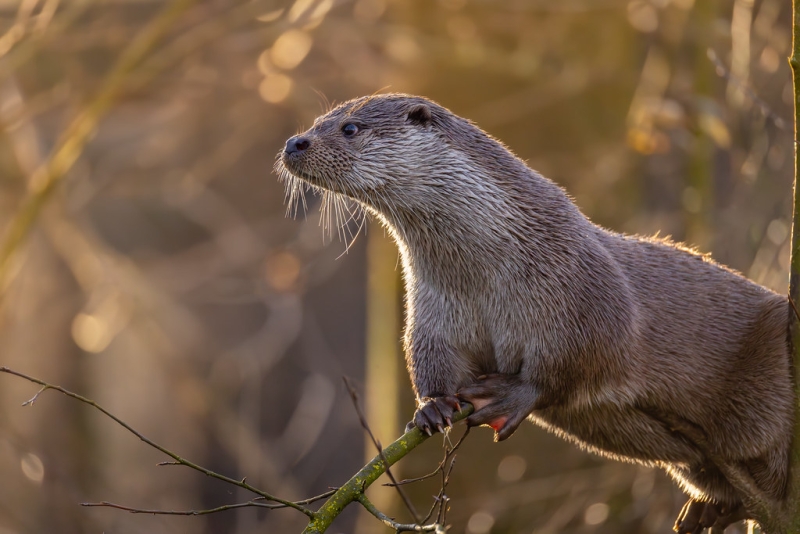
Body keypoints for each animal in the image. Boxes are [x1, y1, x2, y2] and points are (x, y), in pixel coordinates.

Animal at [275, 94, 793, 533]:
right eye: (317, 121)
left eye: (349, 127)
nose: (294, 142)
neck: (486, 272)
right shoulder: (433, 311)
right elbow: (431, 356)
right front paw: (432, 405)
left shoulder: (586, 298)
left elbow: (576, 362)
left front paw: (515, 394)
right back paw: (707, 510)